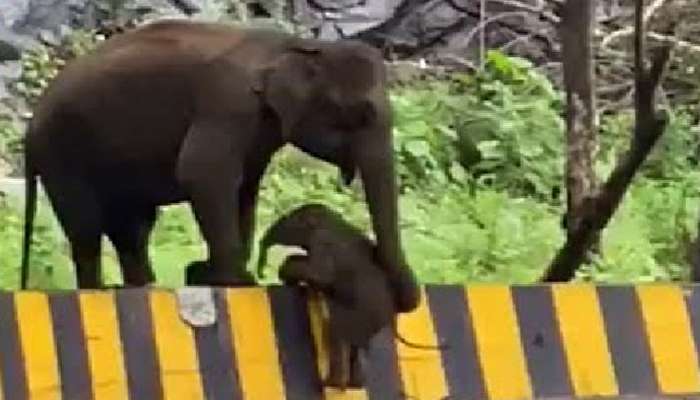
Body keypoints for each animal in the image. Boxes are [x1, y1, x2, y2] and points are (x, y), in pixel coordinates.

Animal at [20, 18, 419, 312]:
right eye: (361, 115)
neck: (296, 45)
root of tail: (30, 123)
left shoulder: (258, 130)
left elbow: (244, 188)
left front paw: (211, 274)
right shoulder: (227, 103)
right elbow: (204, 174)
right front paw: (236, 281)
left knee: (133, 229)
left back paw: (144, 287)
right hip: (61, 155)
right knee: (86, 228)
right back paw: (99, 292)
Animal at [257, 203, 442, 389]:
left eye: (287, 221)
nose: (261, 271)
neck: (332, 220)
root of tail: (391, 317)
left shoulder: (322, 241)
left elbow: (321, 273)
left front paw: (288, 270)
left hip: (357, 318)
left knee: (336, 334)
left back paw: (330, 383)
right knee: (356, 347)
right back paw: (355, 384)